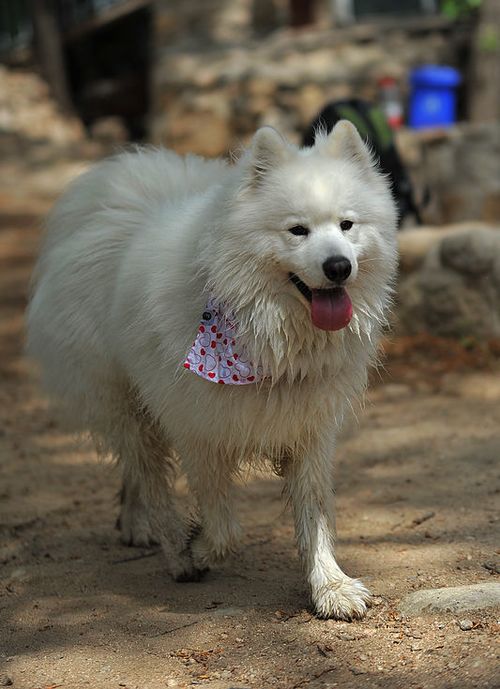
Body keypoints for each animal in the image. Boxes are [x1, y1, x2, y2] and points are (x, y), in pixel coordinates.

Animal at [27, 122, 396, 620]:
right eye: (297, 230)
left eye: (347, 225)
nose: (338, 266)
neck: (266, 335)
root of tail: (117, 196)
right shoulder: (199, 431)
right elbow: (224, 527)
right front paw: (196, 549)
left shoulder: (309, 429)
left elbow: (315, 516)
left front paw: (330, 588)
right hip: (121, 402)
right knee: (149, 474)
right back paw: (169, 547)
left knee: (137, 474)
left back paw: (133, 522)